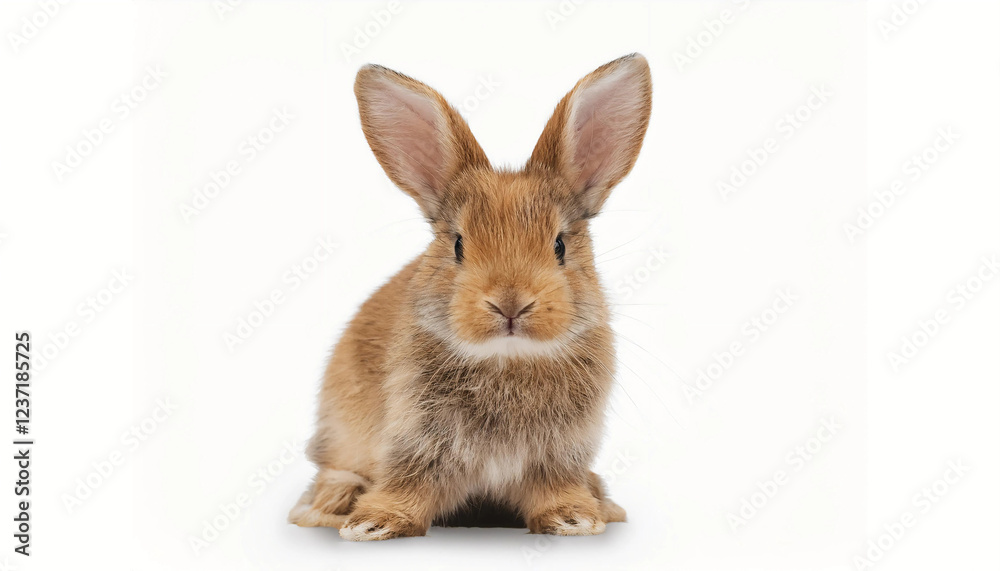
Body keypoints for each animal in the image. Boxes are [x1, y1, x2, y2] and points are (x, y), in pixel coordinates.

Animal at [288, 53, 651, 540]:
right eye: (458, 244)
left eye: (559, 245)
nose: (510, 303)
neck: (507, 359)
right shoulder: (415, 442)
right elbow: (408, 484)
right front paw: (373, 524)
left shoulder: (557, 457)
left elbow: (554, 488)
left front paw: (574, 518)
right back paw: (332, 503)